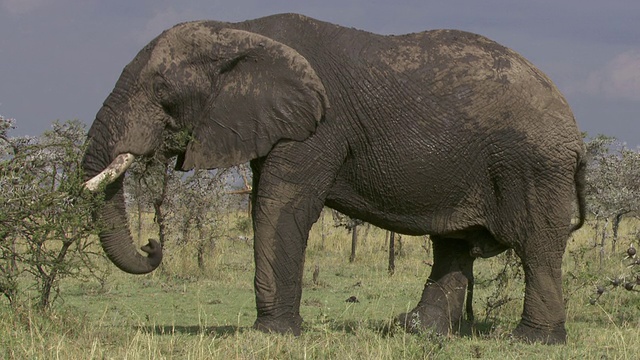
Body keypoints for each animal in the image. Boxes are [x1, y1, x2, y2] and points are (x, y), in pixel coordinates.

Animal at [84, 14, 584, 344]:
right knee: (453, 243)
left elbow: (279, 207)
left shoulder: (320, 125)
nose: (152, 245)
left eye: (163, 93)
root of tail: (573, 128)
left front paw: (273, 336)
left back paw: (532, 341)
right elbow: (270, 204)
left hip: (532, 164)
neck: (240, 29)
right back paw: (414, 331)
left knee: (536, 244)